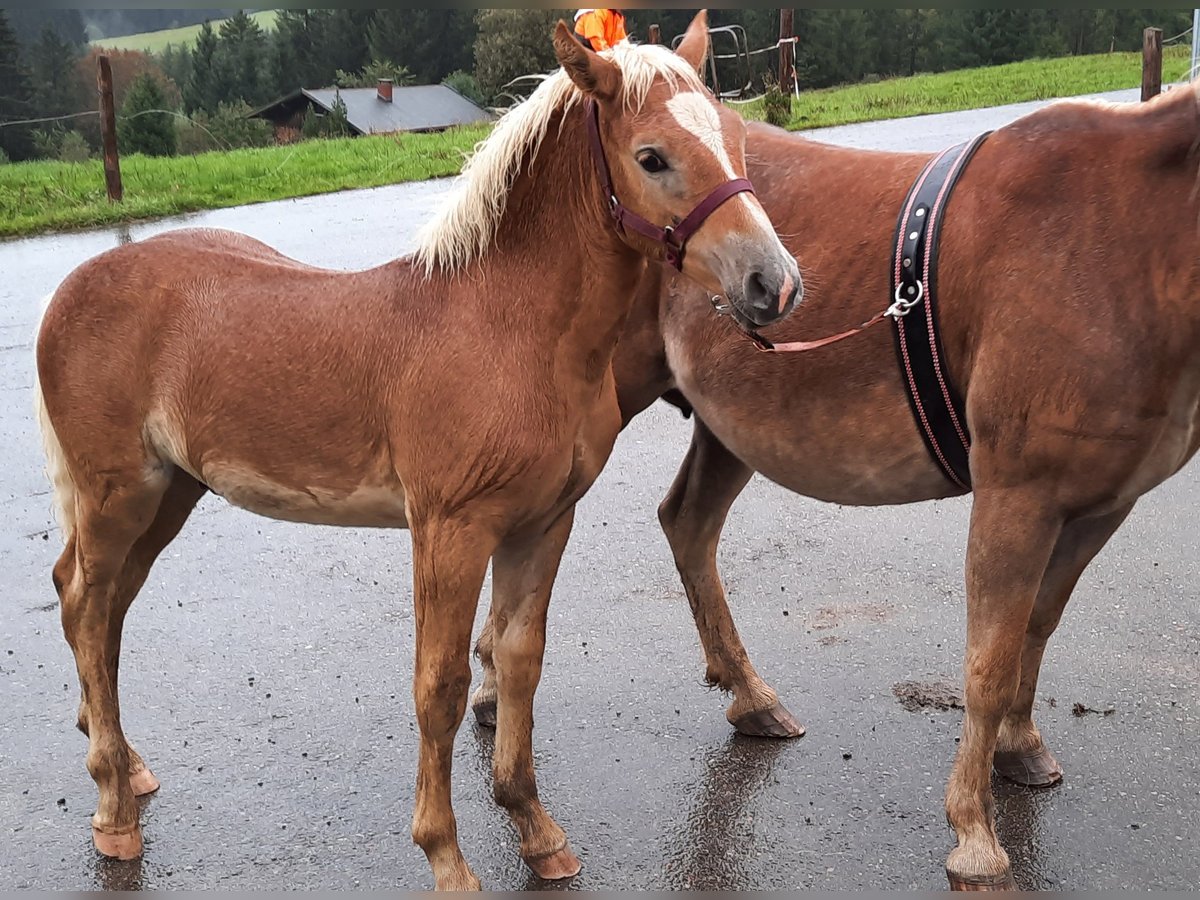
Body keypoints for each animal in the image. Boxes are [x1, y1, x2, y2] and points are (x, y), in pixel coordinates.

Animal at [35, 15, 806, 897]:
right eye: (651, 157)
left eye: (738, 140)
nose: (773, 285)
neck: (510, 329)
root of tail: (73, 288)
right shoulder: (449, 530)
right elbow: (440, 686)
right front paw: (448, 859)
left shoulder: (543, 524)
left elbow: (518, 663)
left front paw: (537, 833)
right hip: (117, 494)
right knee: (86, 606)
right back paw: (113, 813)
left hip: (168, 495)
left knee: (104, 610)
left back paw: (129, 770)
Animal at [477, 88, 1200, 892]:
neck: (1116, 238)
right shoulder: (1017, 494)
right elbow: (989, 657)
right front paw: (974, 833)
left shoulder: (1100, 505)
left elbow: (1034, 630)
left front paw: (1019, 746)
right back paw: (492, 684)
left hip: (732, 430)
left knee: (687, 523)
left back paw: (749, 696)